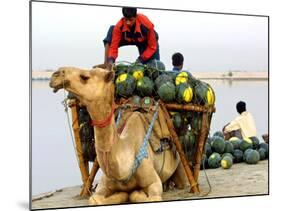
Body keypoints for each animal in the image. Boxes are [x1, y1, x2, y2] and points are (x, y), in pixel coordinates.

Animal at [49, 66, 187, 204]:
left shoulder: (154, 183)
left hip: (179, 162)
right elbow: (95, 199)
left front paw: (134, 192)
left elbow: (140, 195)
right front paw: (121, 194)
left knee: (182, 182)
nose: (55, 75)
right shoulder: (103, 185)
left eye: (84, 77)